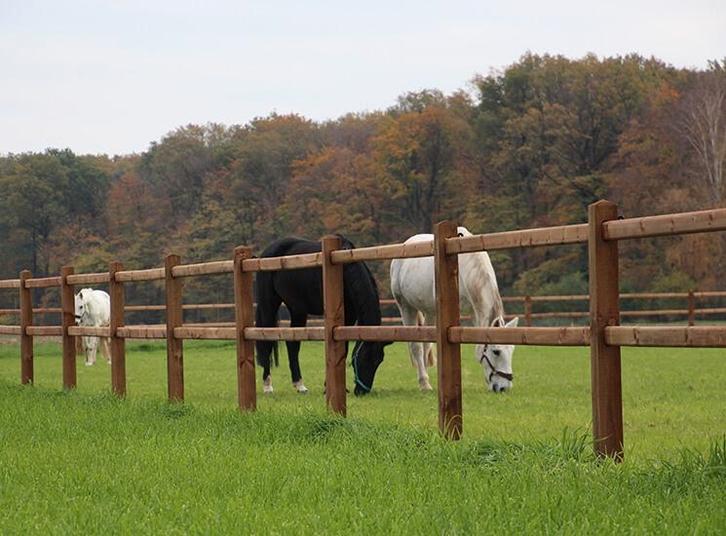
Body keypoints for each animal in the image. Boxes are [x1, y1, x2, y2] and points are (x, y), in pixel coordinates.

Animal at [255, 235, 390, 396]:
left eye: (378, 361)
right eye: (365, 357)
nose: (361, 391)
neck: (343, 271)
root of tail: (266, 253)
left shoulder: (350, 316)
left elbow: (343, 349)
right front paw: (329, 388)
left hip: (297, 309)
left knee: (293, 344)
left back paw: (300, 385)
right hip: (269, 305)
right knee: (266, 340)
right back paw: (268, 386)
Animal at [390, 227, 519, 393]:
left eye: (512, 349)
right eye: (496, 351)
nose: (504, 388)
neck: (463, 269)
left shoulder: (474, 312)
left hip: (430, 312)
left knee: (426, 344)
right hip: (406, 307)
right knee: (416, 346)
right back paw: (424, 382)